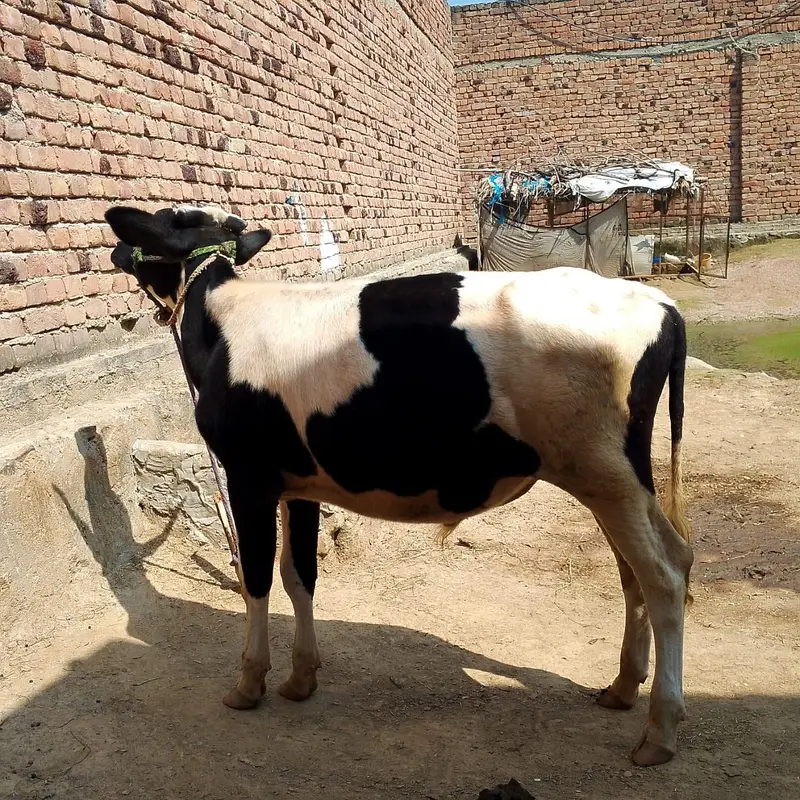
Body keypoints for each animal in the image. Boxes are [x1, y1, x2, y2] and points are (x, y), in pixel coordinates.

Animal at [104, 204, 693, 767]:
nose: (115, 251)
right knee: (650, 566)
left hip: (603, 473)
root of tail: (658, 302)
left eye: (163, 222)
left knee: (664, 575)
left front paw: (249, 683)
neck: (221, 321)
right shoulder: (299, 484)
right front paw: (301, 677)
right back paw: (621, 688)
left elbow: (257, 579)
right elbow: (300, 576)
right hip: (615, 477)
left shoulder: (248, 476)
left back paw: (660, 732)